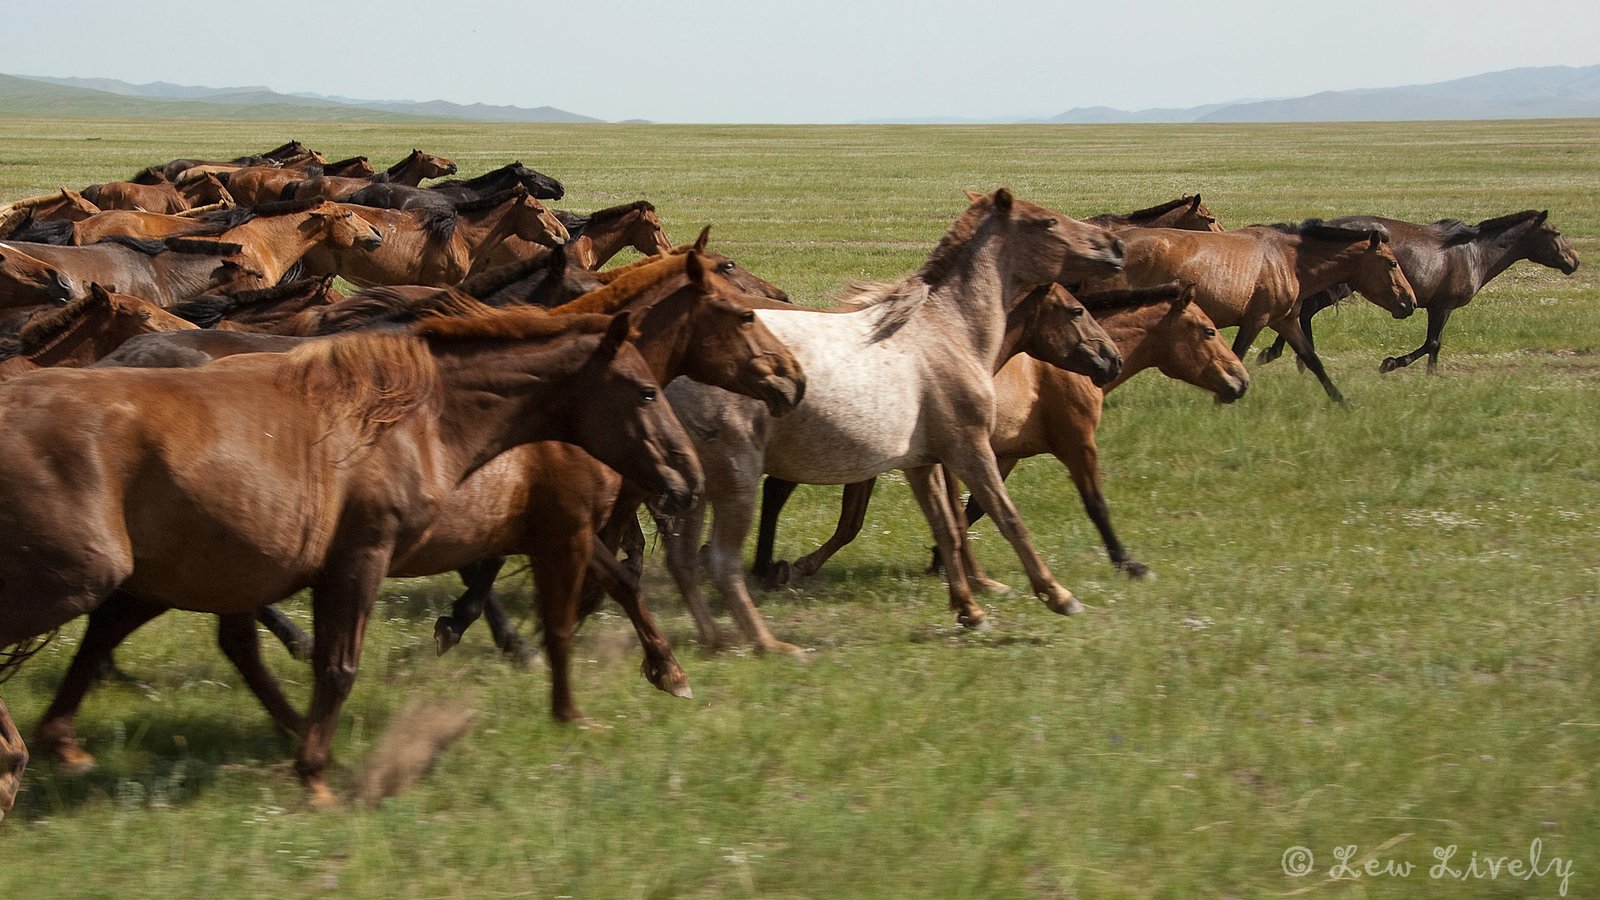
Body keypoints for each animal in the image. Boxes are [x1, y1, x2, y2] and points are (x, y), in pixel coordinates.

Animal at [0, 307, 702, 811]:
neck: (417, 420)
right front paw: (314, 776)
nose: (688, 479)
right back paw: (16, 759)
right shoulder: (365, 557)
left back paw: (58, 746)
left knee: (142, 636)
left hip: (169, 574)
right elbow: (339, 667)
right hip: (87, 573)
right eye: (645, 392)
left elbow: (589, 606)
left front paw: (626, 693)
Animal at [653, 189, 1123, 654]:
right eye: (1048, 222)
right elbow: (1008, 519)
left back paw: (715, 639)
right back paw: (769, 644)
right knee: (719, 560)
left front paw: (970, 611)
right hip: (736, 477)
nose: (1115, 246)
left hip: (699, 486)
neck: (947, 331)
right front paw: (1059, 596)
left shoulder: (922, 463)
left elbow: (947, 528)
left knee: (682, 559)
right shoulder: (969, 449)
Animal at [755, 283, 1250, 586]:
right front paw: (1128, 563)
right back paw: (774, 567)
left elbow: (974, 510)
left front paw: (940, 560)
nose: (1240, 381)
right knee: (788, 494)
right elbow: (1096, 504)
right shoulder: (1077, 443)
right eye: (1208, 331)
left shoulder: (1005, 454)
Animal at [1086, 220, 1416, 402]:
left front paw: (1342, 402)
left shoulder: (1286, 321)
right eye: (1392, 263)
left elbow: (1313, 361)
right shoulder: (1256, 320)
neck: (1287, 259)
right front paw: (1222, 398)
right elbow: (1238, 354)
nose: (1410, 303)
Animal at [1255, 210, 1581, 374]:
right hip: (1338, 288)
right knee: (1305, 310)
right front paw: (1391, 364)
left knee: (1303, 311)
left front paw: (1430, 377)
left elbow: (1435, 345)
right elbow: (1432, 342)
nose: (1574, 261)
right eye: (1555, 233)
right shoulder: (1442, 307)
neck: (1474, 253)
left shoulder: (1440, 308)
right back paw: (1286, 356)